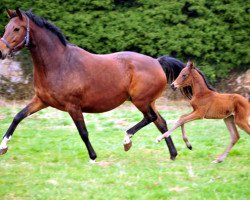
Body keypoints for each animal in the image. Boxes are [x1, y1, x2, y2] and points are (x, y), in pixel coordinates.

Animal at [0, 9, 191, 162]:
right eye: (6, 27)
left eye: (17, 29)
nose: (2, 51)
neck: (59, 64)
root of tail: (157, 62)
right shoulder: (41, 100)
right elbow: (17, 117)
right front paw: (3, 146)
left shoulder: (73, 106)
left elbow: (83, 132)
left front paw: (93, 157)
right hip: (148, 101)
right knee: (161, 122)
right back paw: (172, 154)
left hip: (141, 101)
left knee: (150, 118)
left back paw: (127, 141)